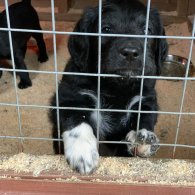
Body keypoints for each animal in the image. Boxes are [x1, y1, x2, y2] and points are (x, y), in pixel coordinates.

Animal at [50, 0, 168, 174]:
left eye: (147, 29)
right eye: (105, 29)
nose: (130, 52)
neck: (116, 85)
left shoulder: (146, 98)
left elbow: (145, 117)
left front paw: (144, 139)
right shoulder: (69, 95)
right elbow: (77, 119)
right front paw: (82, 152)